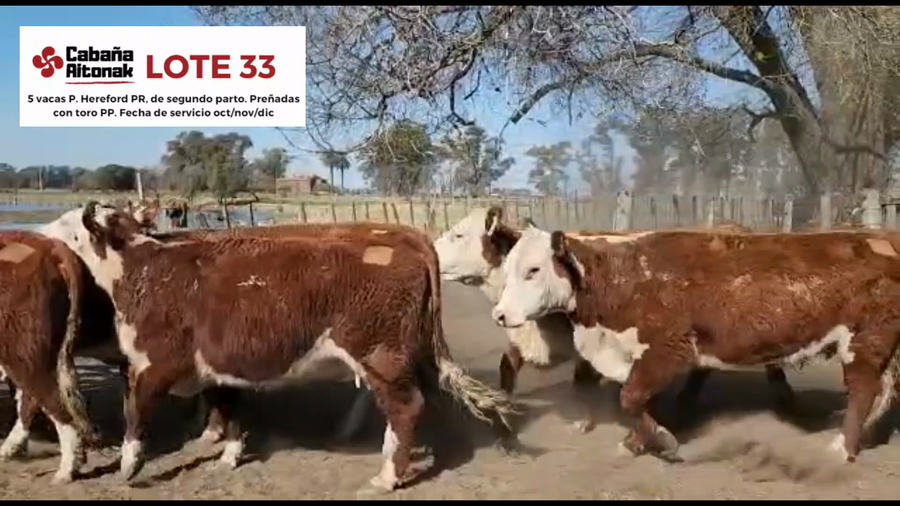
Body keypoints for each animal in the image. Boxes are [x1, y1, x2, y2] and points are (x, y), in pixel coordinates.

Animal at [40, 202, 518, 490]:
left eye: (66, 226)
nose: (36, 233)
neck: (142, 269)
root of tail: (408, 240)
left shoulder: (151, 364)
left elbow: (135, 416)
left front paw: (129, 466)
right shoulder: (216, 365)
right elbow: (229, 410)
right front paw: (229, 456)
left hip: (380, 354)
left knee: (405, 408)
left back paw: (386, 476)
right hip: (401, 354)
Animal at [433, 207, 794, 430]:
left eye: (459, 235)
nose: (430, 249)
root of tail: (733, 227)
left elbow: (583, 382)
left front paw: (584, 420)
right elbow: (507, 368)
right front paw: (505, 411)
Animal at [491, 226, 900, 463]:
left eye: (534, 270)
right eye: (508, 268)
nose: (499, 314)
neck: (624, 278)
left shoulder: (668, 351)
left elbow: (631, 397)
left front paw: (660, 441)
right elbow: (635, 399)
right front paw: (636, 442)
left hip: (865, 343)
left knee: (862, 391)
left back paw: (841, 448)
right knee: (884, 391)